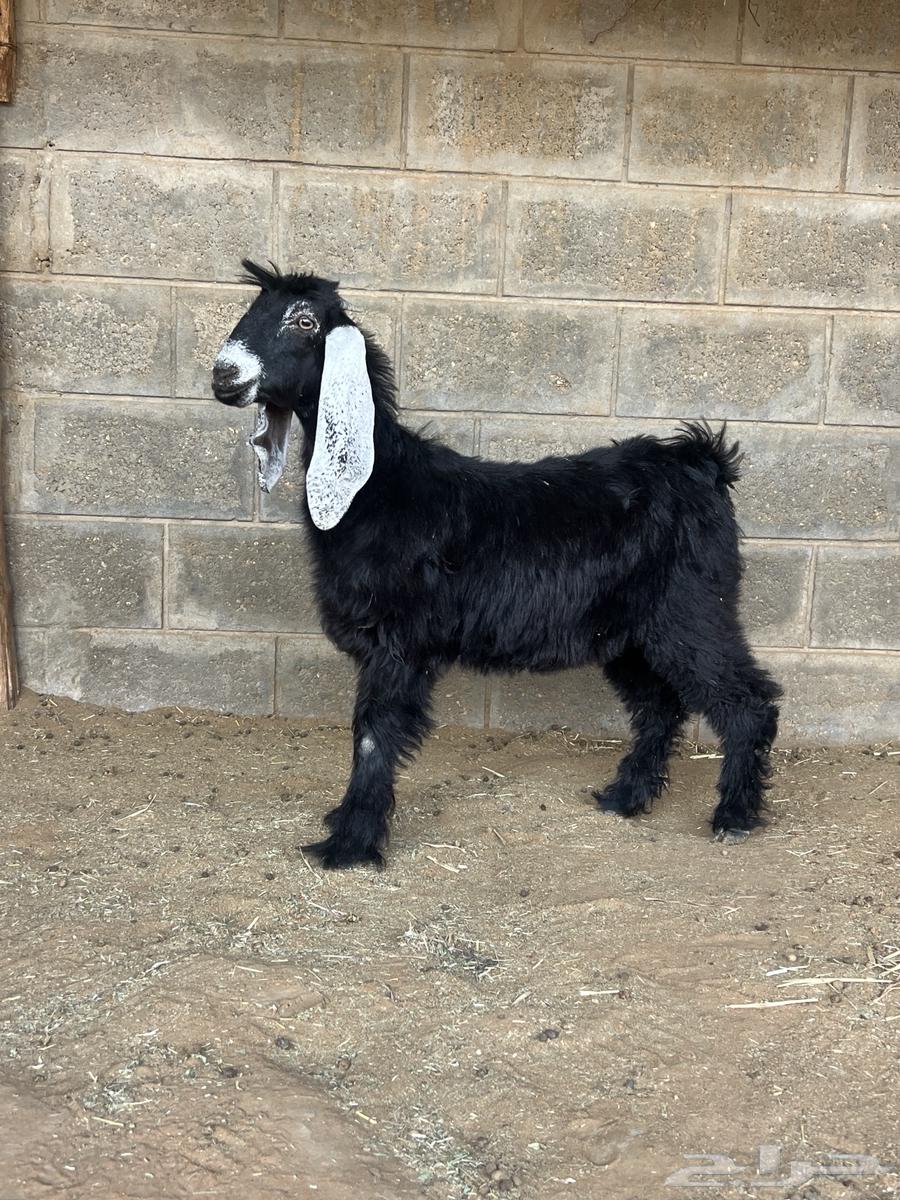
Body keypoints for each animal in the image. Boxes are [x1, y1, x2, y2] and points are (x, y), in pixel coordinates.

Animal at [212, 261, 781, 869]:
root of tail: (703, 463)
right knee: (659, 706)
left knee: (747, 701)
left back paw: (734, 816)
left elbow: (373, 735)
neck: (379, 486)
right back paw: (625, 797)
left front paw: (350, 844)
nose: (223, 374)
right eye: (254, 309)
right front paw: (347, 828)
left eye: (305, 321)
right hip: (630, 630)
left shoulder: (399, 643)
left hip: (693, 610)